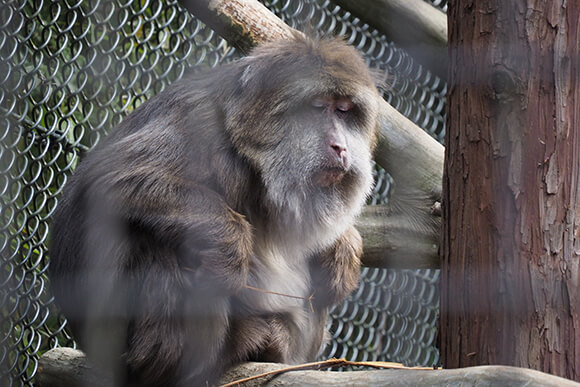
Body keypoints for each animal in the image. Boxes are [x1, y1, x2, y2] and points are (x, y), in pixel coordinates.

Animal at [49, 34, 382, 387]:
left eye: (344, 112)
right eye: (318, 108)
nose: (340, 146)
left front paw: (344, 248)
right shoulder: (200, 124)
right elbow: (107, 182)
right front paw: (230, 241)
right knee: (154, 238)